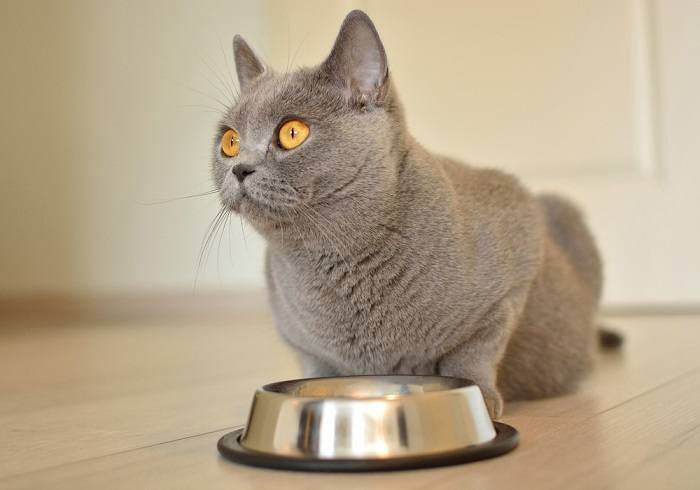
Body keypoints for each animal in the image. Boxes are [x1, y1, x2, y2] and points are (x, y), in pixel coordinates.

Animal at [211, 10, 620, 418]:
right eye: (229, 141)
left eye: (292, 132)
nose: (240, 168)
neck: (333, 259)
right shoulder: (296, 336)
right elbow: (316, 366)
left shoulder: (516, 264)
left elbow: (474, 352)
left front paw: (480, 397)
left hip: (561, 210)